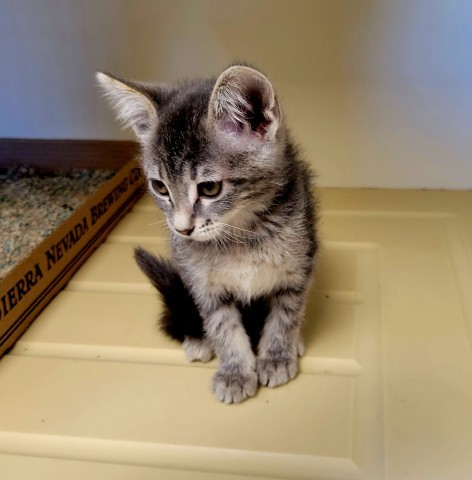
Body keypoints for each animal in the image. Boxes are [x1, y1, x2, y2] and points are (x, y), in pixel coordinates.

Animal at [96, 62, 318, 402]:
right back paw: (199, 341)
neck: (242, 236)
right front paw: (235, 372)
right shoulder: (204, 286)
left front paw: (277, 357)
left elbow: (286, 315)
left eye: (210, 188)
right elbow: (222, 327)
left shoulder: (298, 268)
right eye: (160, 187)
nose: (182, 228)